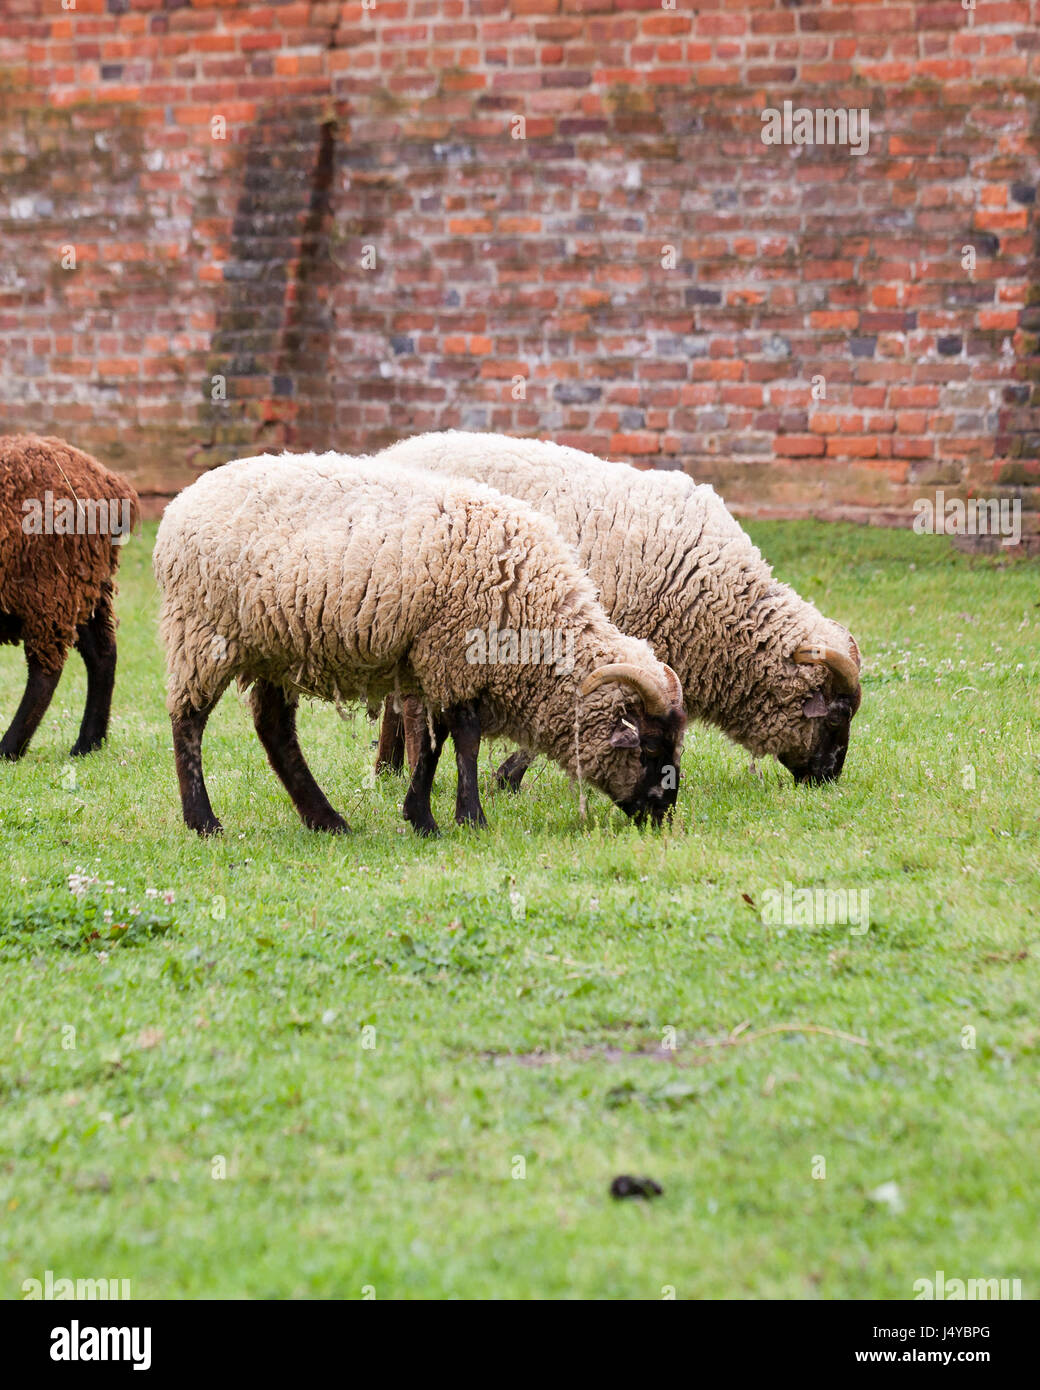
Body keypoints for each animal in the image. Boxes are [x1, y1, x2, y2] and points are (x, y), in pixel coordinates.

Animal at [0, 434, 139, 760]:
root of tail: (108, 480)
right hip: (85, 584)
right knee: (103, 653)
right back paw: (89, 742)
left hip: (48, 586)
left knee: (45, 671)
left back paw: (9, 747)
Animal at [152, 452, 686, 837]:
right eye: (648, 748)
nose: (663, 816)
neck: (529, 600)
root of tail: (183, 500)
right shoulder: (451, 653)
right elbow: (464, 736)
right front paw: (469, 818)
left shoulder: (432, 660)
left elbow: (436, 738)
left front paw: (420, 817)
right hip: (202, 631)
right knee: (189, 720)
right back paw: (203, 822)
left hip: (275, 648)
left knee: (274, 730)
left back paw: (326, 820)